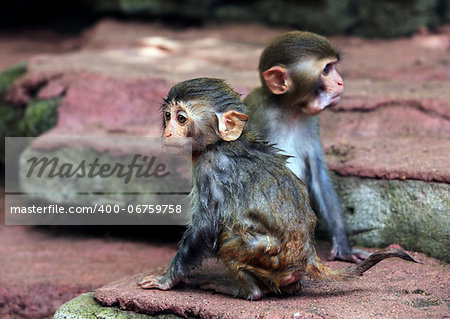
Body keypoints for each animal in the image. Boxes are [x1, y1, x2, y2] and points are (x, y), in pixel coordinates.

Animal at [139, 78, 416, 302]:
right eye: (168, 116)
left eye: (181, 118)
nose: (168, 132)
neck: (218, 145)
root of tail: (308, 257)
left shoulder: (211, 169)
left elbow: (206, 227)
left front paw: (167, 279)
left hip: (268, 255)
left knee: (228, 239)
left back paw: (246, 290)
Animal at [244, 31, 368, 264]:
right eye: (326, 70)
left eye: (333, 67)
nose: (340, 82)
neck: (288, 111)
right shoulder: (259, 117)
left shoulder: (310, 122)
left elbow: (319, 173)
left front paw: (343, 246)